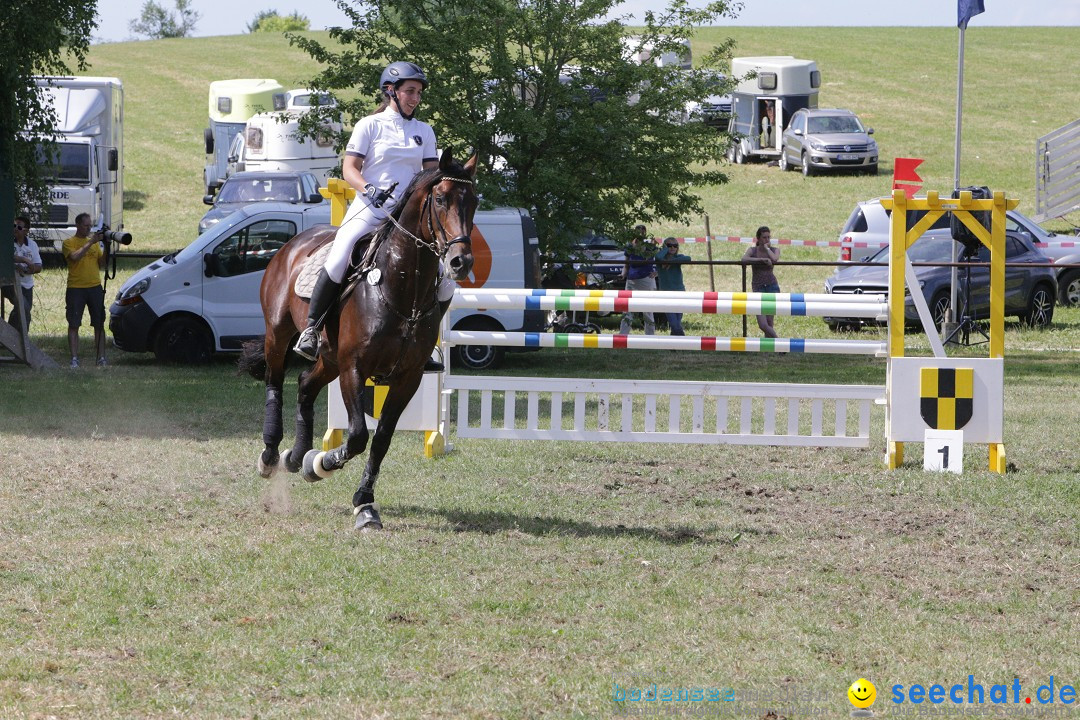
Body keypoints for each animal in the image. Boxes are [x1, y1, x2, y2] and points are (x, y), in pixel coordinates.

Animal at [243, 147, 479, 528]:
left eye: (473, 201)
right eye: (441, 198)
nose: (461, 261)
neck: (403, 288)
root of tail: (293, 243)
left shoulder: (408, 377)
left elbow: (380, 439)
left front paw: (362, 501)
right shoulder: (354, 367)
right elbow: (356, 436)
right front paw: (322, 464)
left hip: (329, 358)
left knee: (306, 383)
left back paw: (296, 455)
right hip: (279, 335)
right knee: (275, 382)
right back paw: (270, 455)